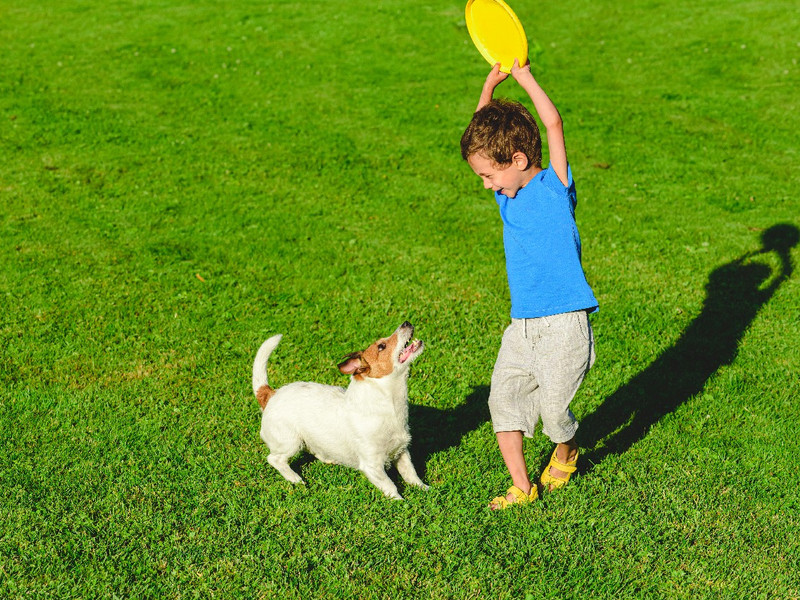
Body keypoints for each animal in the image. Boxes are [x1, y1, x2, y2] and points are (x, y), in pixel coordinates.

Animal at [253, 322, 432, 500]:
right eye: (381, 346)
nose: (406, 323)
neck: (389, 405)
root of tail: (270, 394)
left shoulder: (401, 451)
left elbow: (410, 473)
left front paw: (424, 489)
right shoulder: (372, 465)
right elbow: (390, 485)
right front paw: (400, 501)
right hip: (290, 442)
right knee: (274, 459)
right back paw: (294, 478)